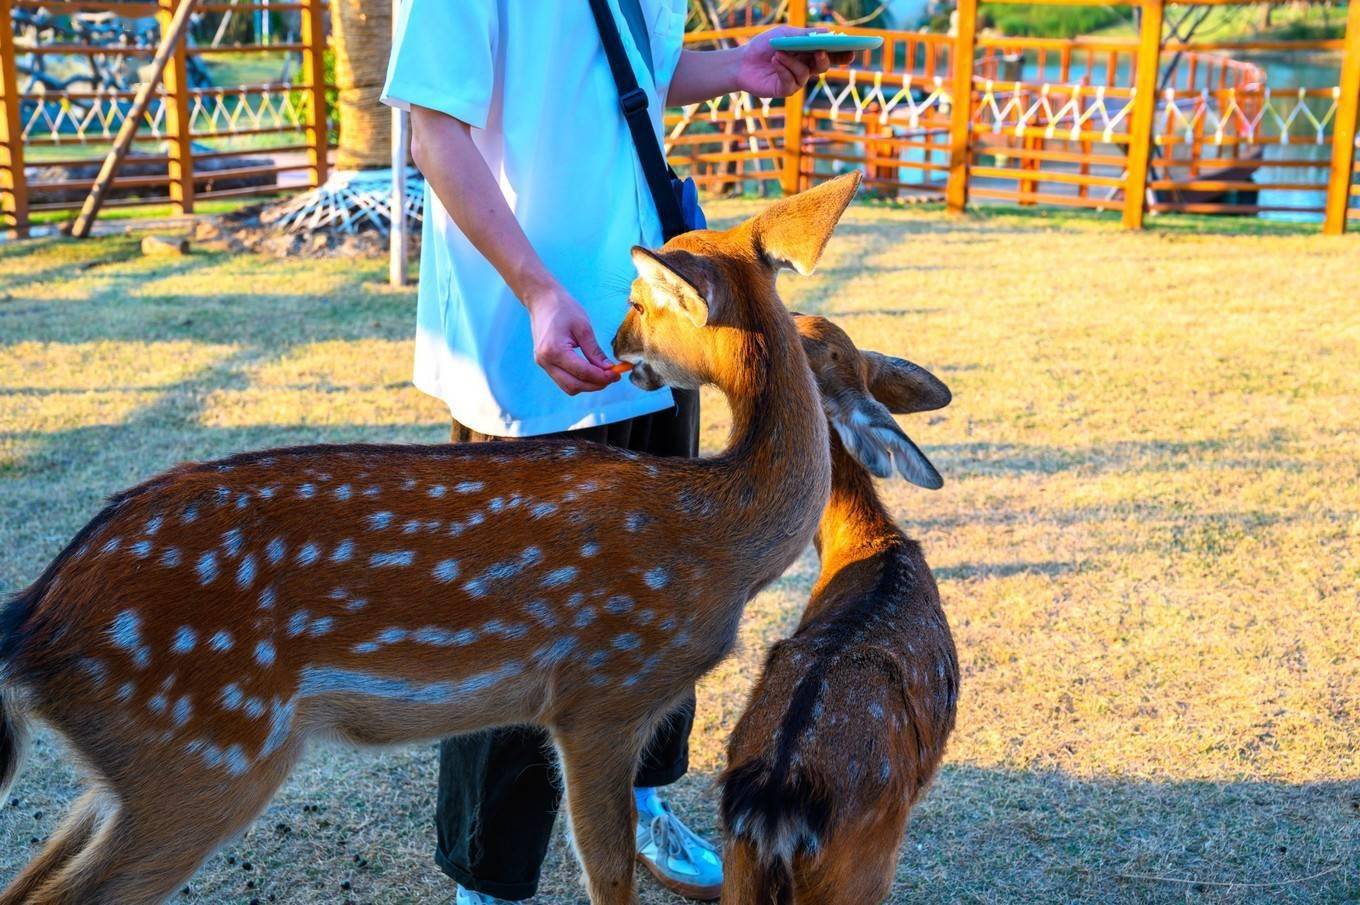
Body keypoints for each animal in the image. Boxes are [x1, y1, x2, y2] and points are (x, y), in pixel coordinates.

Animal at [2, 171, 859, 903]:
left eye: (640, 306)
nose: (617, 344)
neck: (720, 539)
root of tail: (32, 624)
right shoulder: (601, 692)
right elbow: (608, 872)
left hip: (139, 764)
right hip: (204, 752)